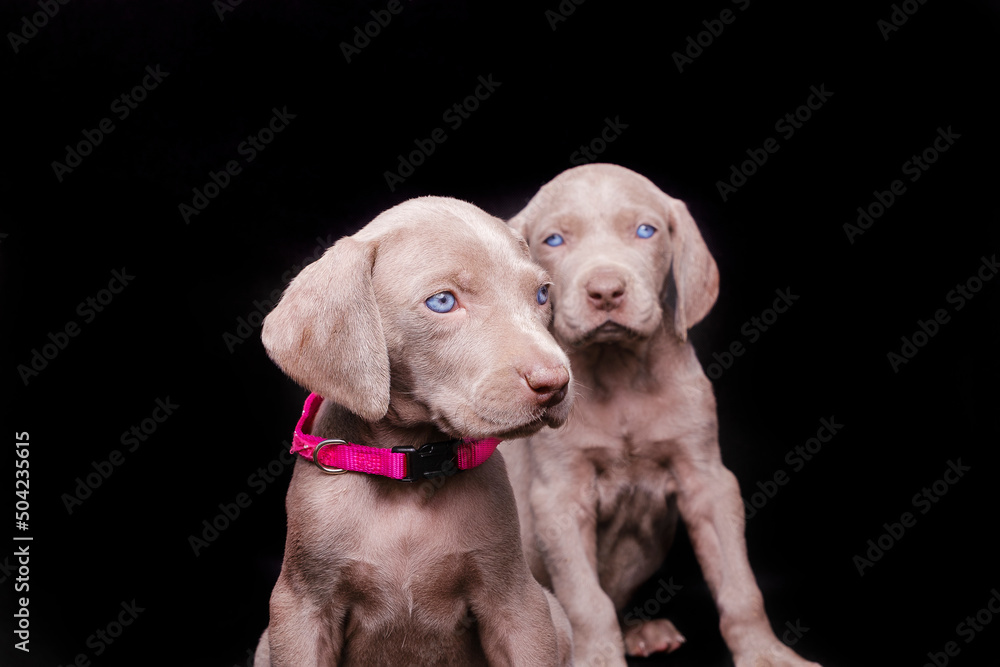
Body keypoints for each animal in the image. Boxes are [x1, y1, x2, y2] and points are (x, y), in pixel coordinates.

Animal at [254, 196, 576, 664]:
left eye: (541, 294)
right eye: (442, 301)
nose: (555, 383)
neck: (411, 467)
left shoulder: (516, 601)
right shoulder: (301, 607)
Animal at [500, 163, 820, 667]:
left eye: (645, 231)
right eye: (554, 240)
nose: (605, 292)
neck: (620, 374)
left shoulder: (708, 482)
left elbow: (740, 587)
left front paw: (766, 654)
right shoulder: (560, 496)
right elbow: (586, 600)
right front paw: (598, 659)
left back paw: (644, 632)